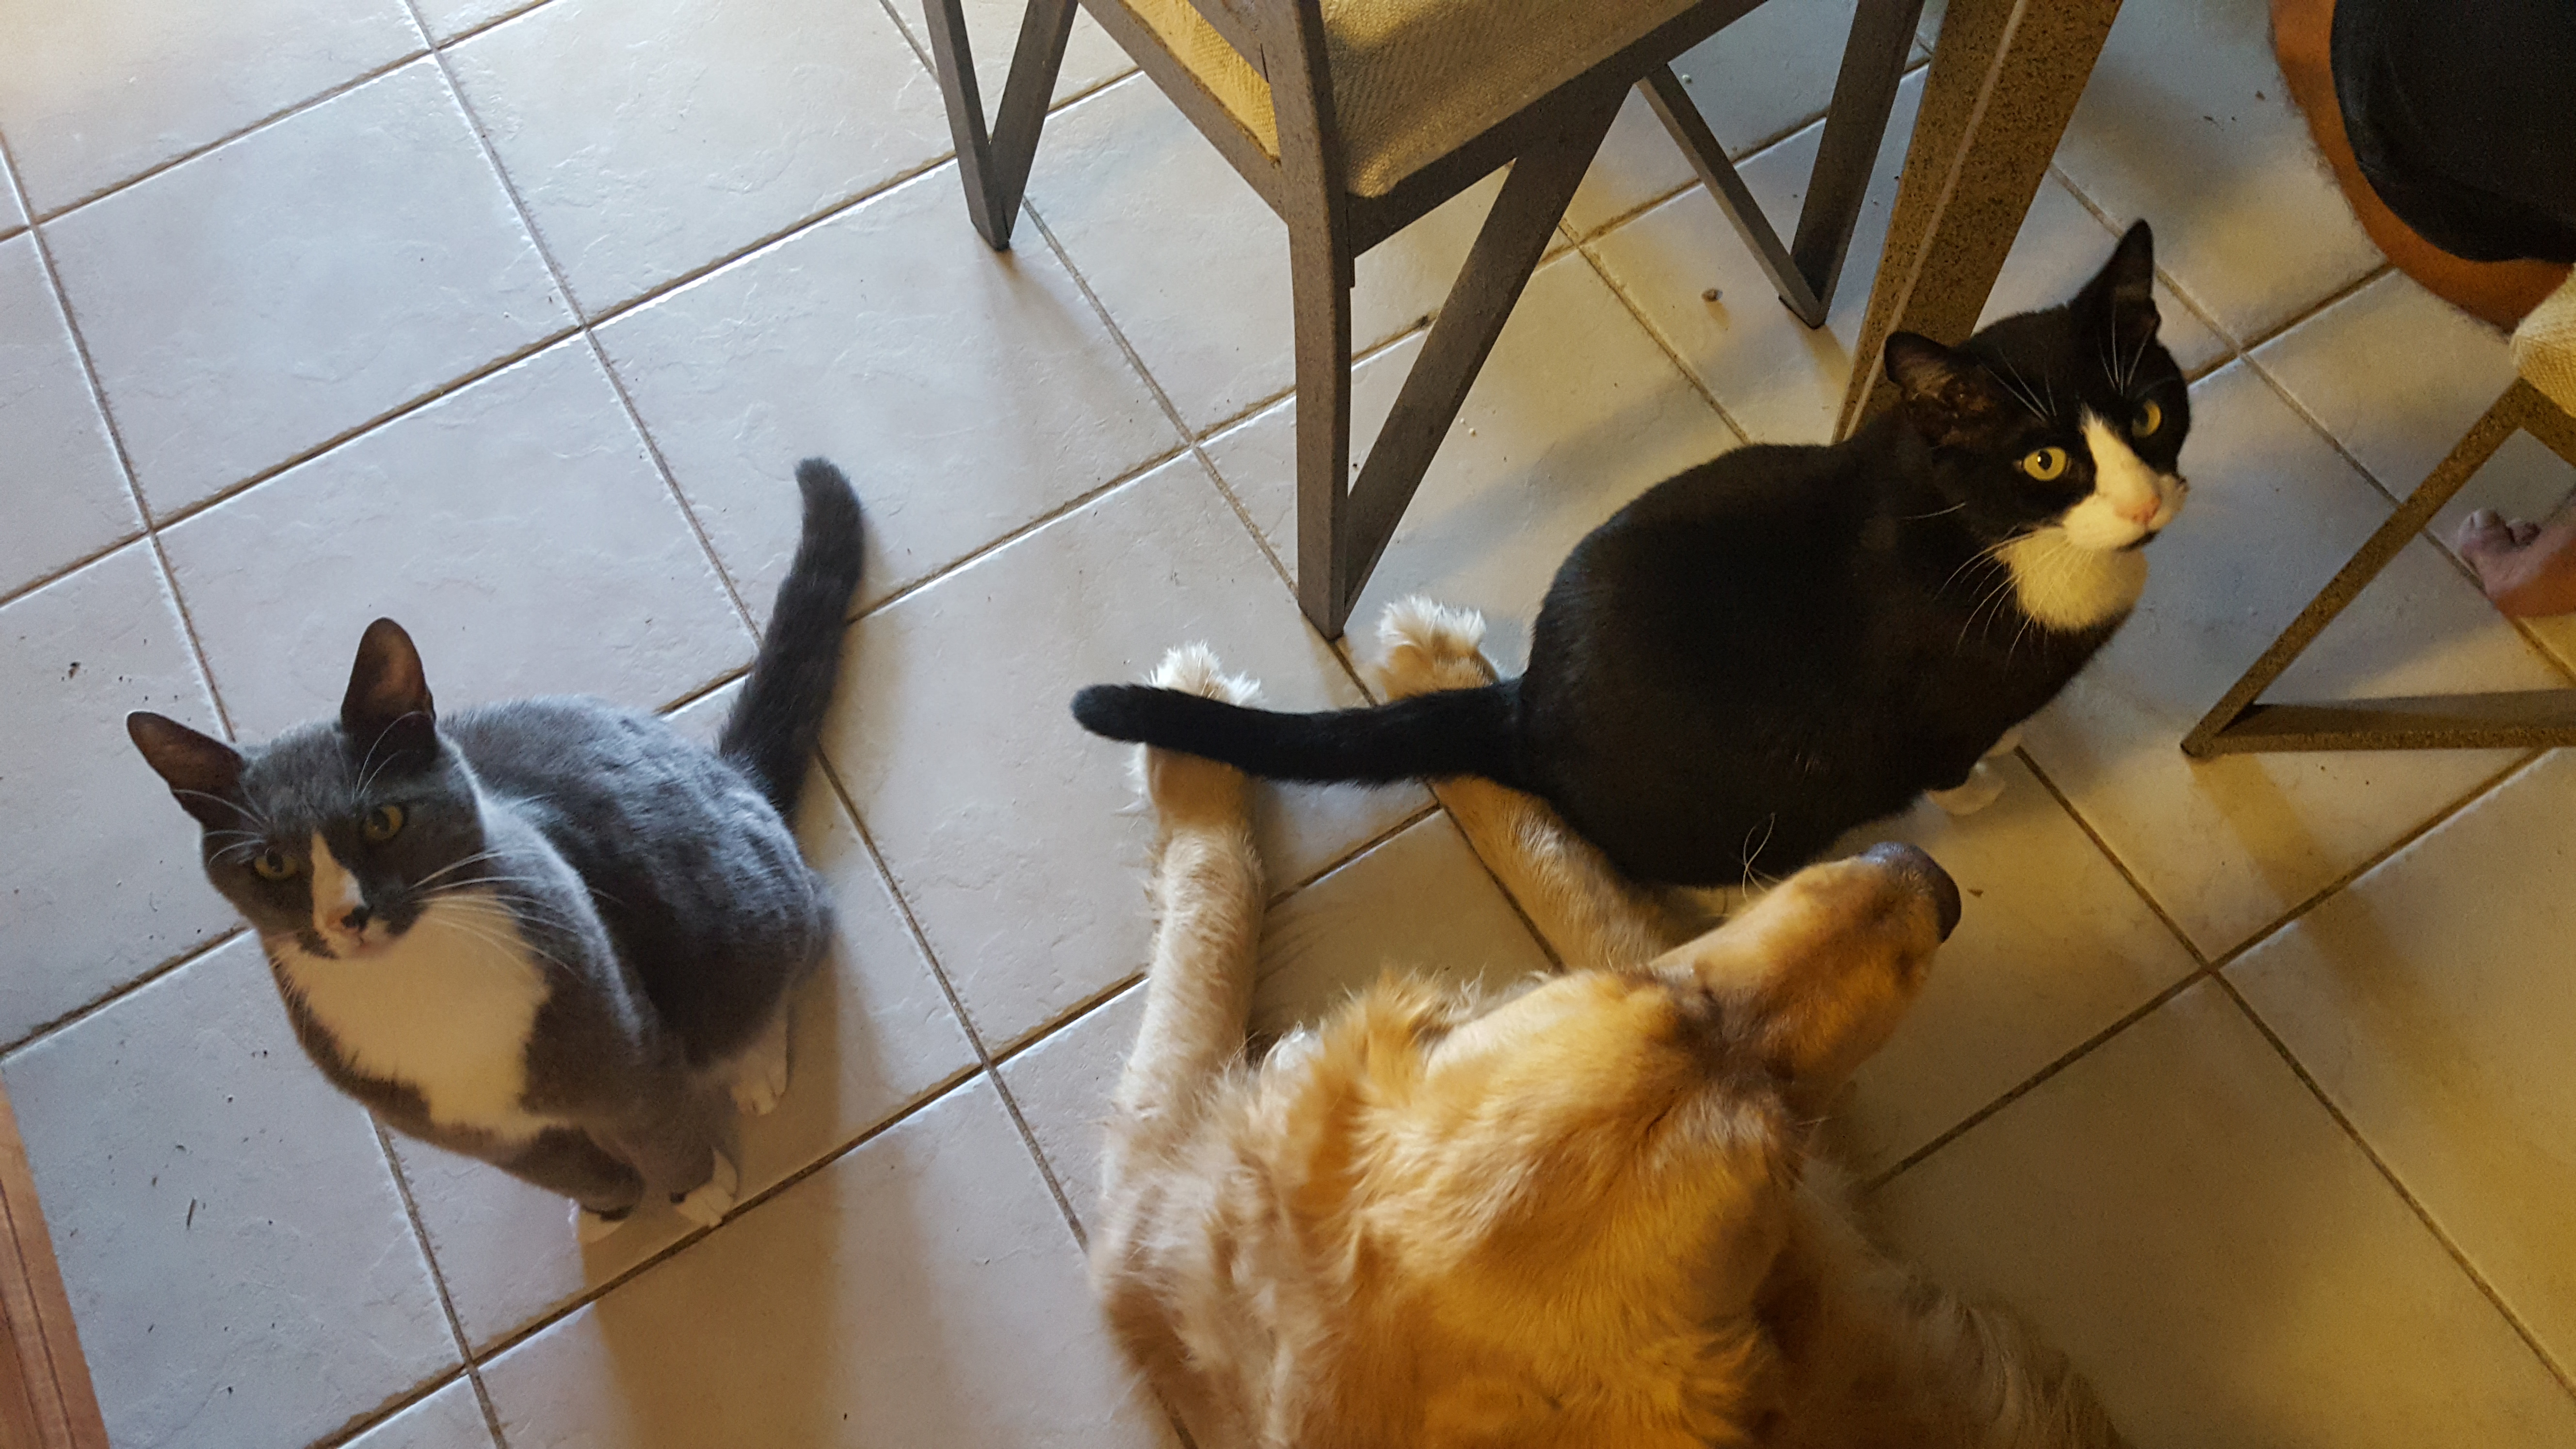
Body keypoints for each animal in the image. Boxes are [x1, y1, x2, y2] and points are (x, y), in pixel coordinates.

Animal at [128, 459, 864, 1241]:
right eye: (273, 863)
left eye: (384, 821)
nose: (346, 917)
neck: (418, 987)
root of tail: (730, 773)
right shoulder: (488, 1137)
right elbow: (569, 1170)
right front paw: (608, 1208)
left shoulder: (625, 1052)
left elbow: (656, 1132)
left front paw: (696, 1192)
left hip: (736, 917)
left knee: (793, 945)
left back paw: (754, 1066)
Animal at [1074, 222, 2188, 888]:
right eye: (2044, 460)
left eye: (2146, 412)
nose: (2143, 501)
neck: (1997, 542)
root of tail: (1526, 706)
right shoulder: (1938, 703)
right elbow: (1948, 757)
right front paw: (1987, 780)